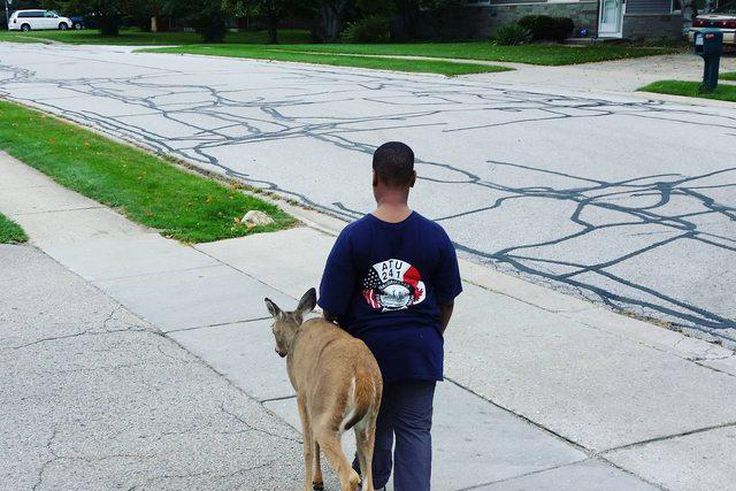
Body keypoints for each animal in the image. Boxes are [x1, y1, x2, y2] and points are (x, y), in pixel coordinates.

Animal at [264, 288, 383, 491]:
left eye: (272, 328)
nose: (278, 351)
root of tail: (363, 376)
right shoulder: (314, 405)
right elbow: (315, 444)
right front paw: (318, 481)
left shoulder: (302, 396)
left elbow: (308, 448)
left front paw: (310, 484)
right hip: (369, 421)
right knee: (368, 478)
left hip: (330, 411)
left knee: (350, 476)